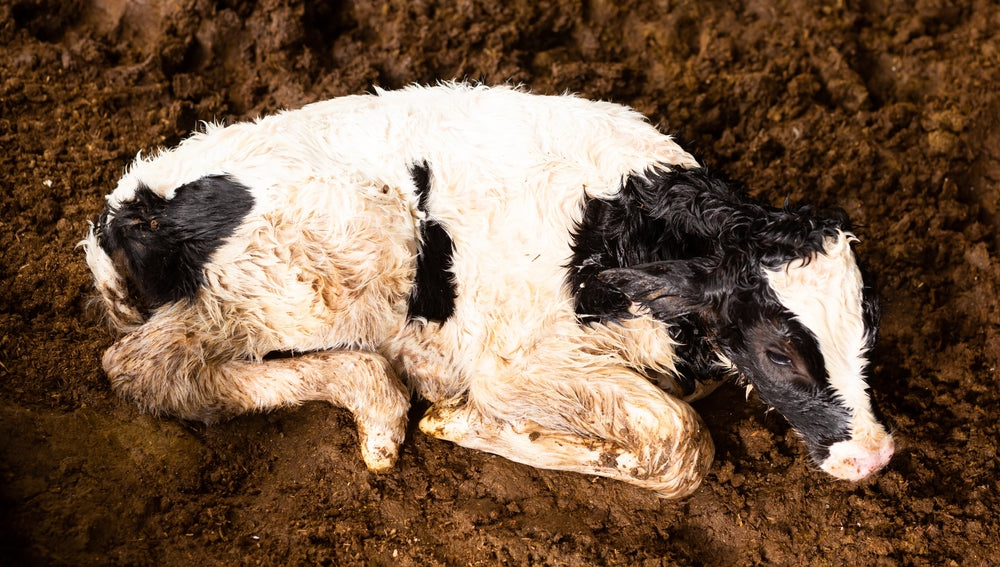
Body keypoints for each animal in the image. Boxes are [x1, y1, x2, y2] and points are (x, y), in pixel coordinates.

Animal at [81, 83, 894, 498]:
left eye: (866, 331)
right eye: (779, 352)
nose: (875, 455)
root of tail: (128, 207)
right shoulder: (513, 362)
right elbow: (680, 445)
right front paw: (472, 424)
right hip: (302, 272)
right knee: (144, 368)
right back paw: (382, 403)